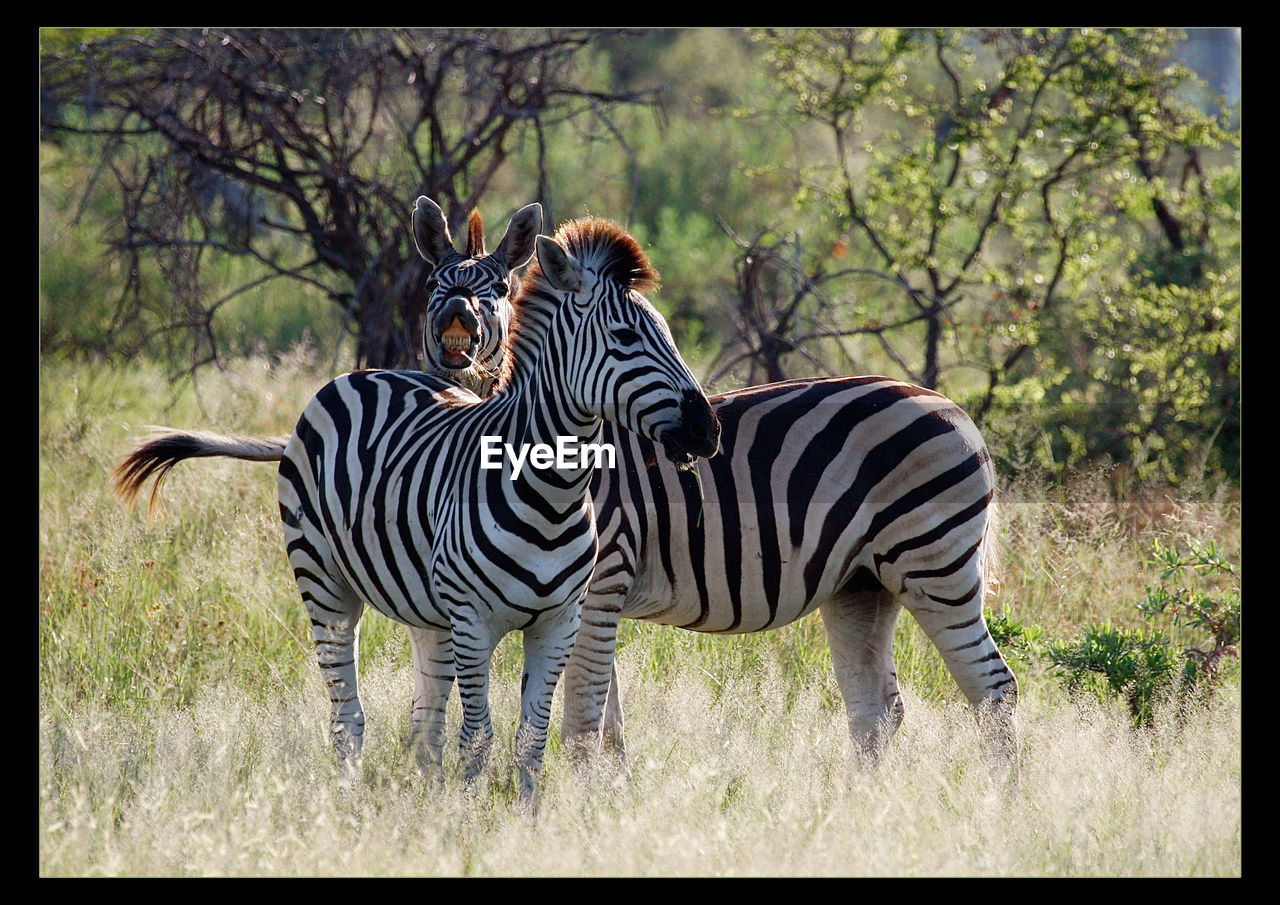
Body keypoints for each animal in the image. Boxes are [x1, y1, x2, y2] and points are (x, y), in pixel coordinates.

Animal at [112, 198, 721, 798]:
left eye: (670, 334)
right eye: (625, 338)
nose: (708, 430)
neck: (553, 492)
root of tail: (362, 374)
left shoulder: (558, 621)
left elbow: (531, 740)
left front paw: (522, 820)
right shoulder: (473, 620)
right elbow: (477, 739)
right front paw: (470, 820)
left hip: (429, 613)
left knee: (423, 722)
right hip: (323, 580)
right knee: (347, 717)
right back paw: (348, 804)